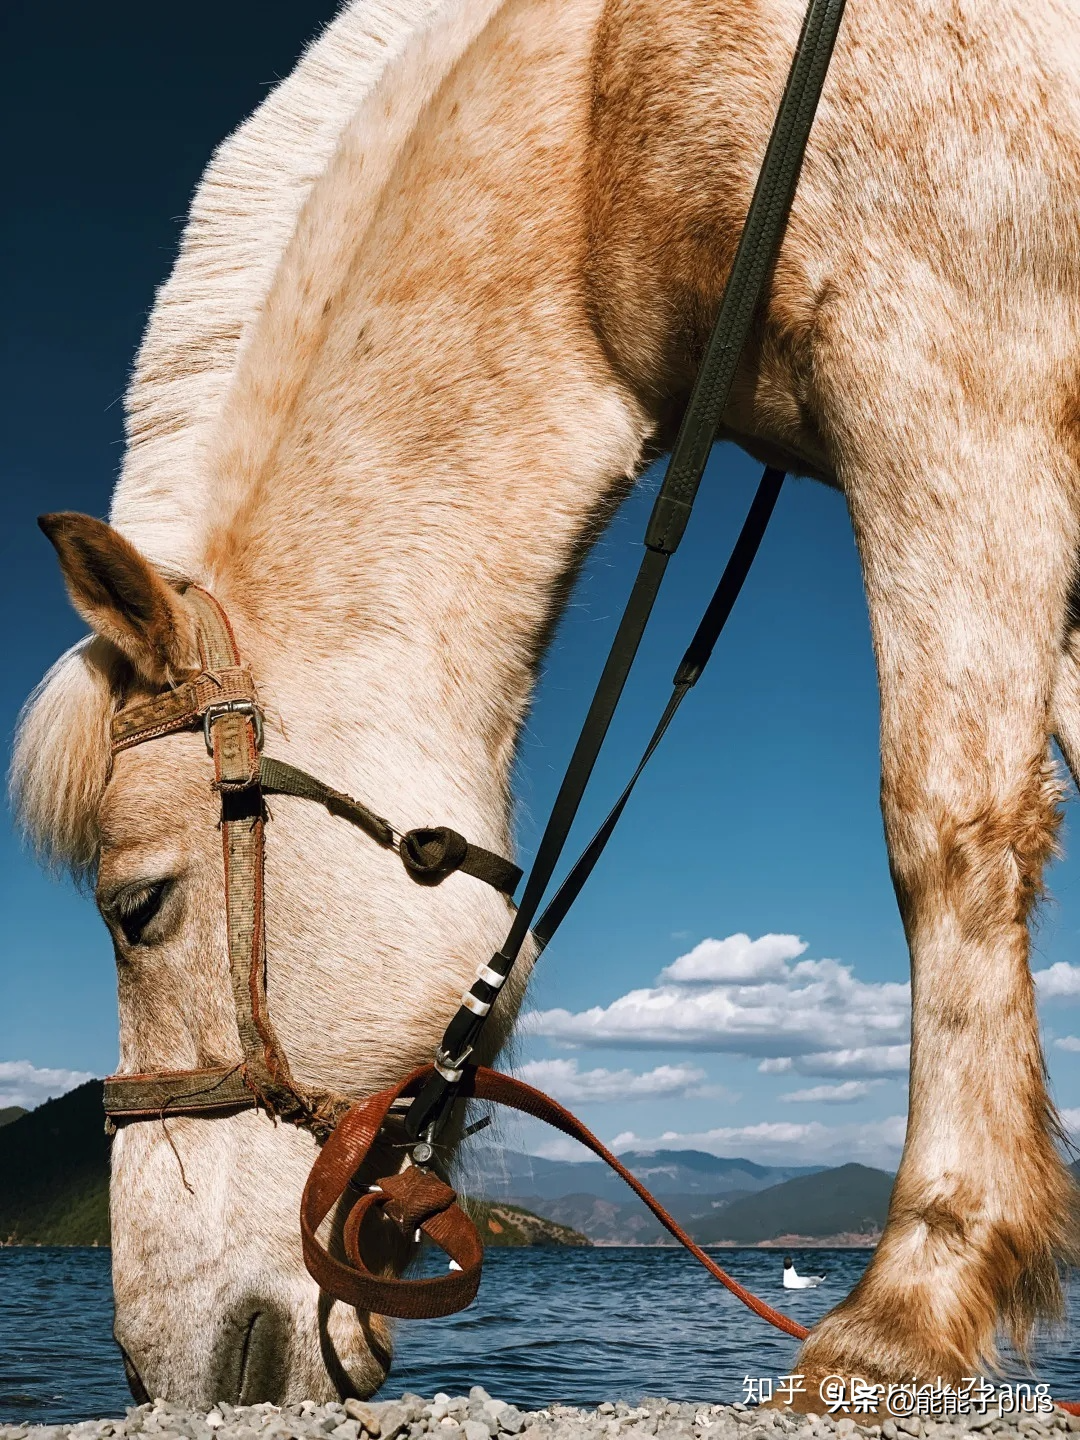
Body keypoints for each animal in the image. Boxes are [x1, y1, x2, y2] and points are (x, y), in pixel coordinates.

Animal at [12, 0, 1080, 1405]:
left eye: (136, 908)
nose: (148, 1376)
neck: (603, 118)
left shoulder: (950, 369)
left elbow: (947, 828)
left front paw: (911, 1304)